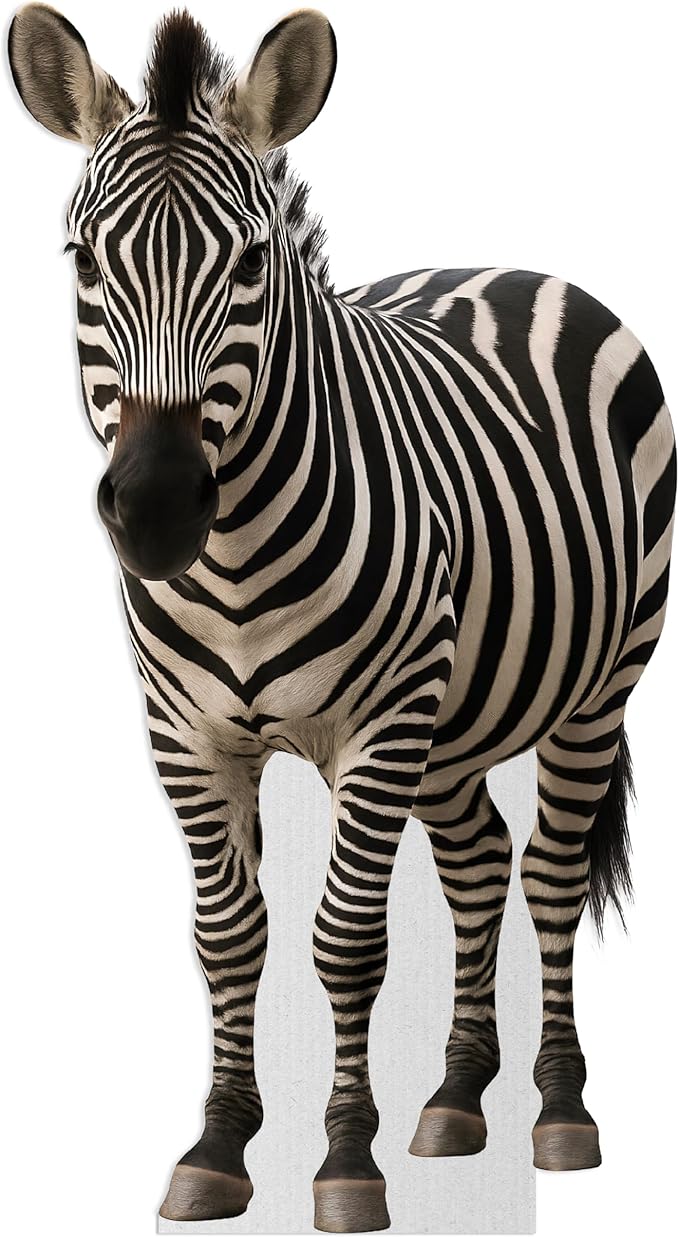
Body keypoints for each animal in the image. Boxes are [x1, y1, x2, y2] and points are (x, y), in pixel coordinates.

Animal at [8, 3, 675, 1233]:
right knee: (478, 860)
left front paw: (345, 1160)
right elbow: (228, 938)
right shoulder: (187, 734)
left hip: (592, 688)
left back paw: (559, 1112)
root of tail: (507, 267)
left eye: (251, 261)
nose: (157, 508)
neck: (230, 564)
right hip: (453, 720)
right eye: (81, 259)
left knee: (548, 873)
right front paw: (219, 1146)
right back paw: (456, 1096)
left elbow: (346, 942)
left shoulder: (377, 725)